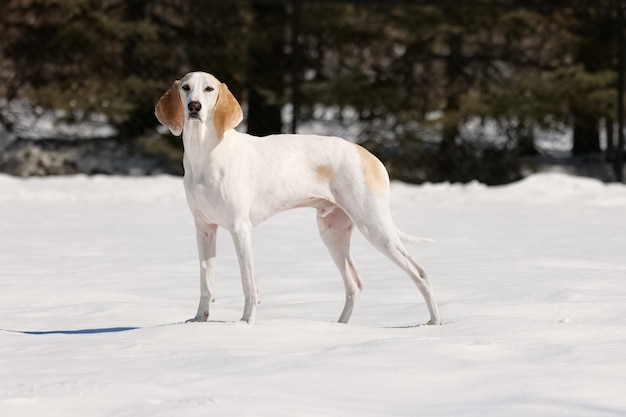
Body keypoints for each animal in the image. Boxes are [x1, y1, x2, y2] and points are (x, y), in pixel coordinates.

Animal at [154, 71, 442, 324]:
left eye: (209, 89)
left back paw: (434, 322)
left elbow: (249, 285)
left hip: (375, 228)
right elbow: (206, 283)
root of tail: (367, 155)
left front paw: (246, 323)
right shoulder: (204, 228)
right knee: (355, 285)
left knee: (421, 273)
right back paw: (340, 327)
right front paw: (199, 320)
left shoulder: (240, 229)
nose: (194, 106)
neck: (205, 153)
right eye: (186, 87)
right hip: (333, 234)